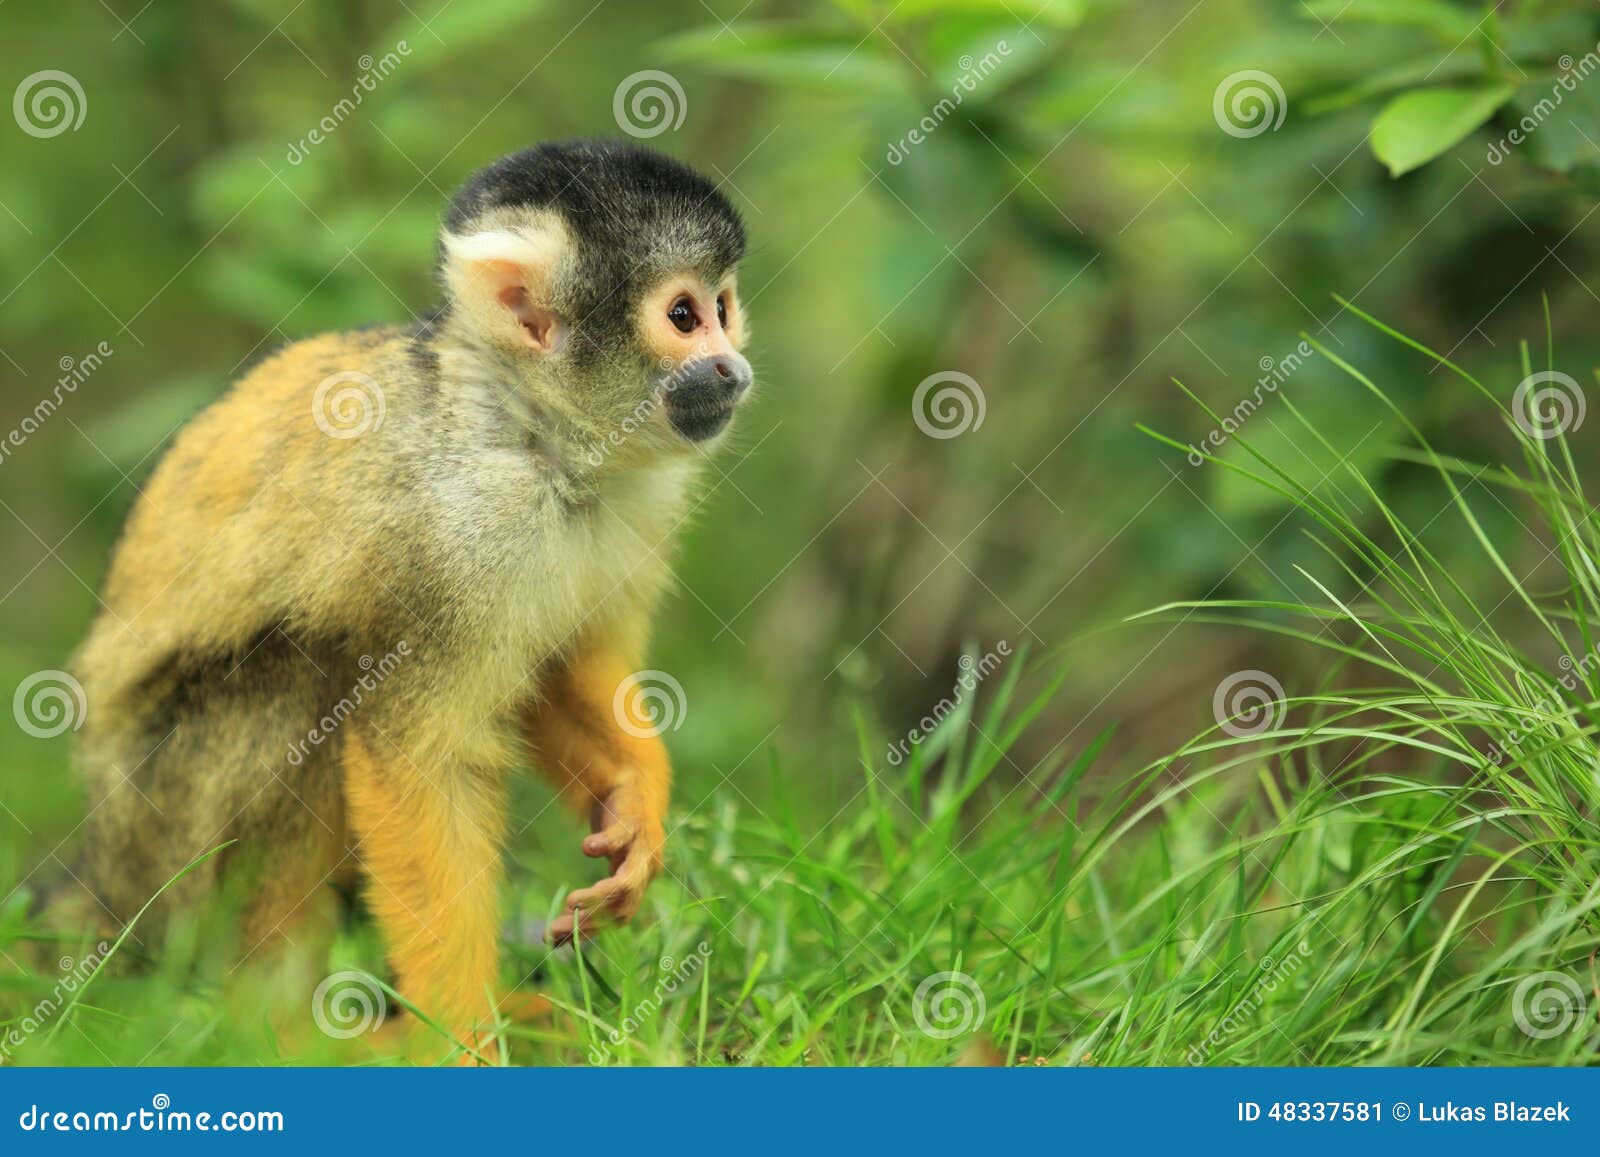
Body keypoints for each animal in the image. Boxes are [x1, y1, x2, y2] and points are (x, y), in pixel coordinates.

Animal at [68, 140, 755, 1062]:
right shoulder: (456, 531)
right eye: (683, 316)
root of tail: (102, 873)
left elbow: (560, 666)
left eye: (723, 307)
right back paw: (279, 1024)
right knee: (299, 683)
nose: (732, 367)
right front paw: (461, 1039)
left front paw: (634, 799)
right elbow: (419, 757)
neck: (537, 439)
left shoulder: (635, 503)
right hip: (161, 844)